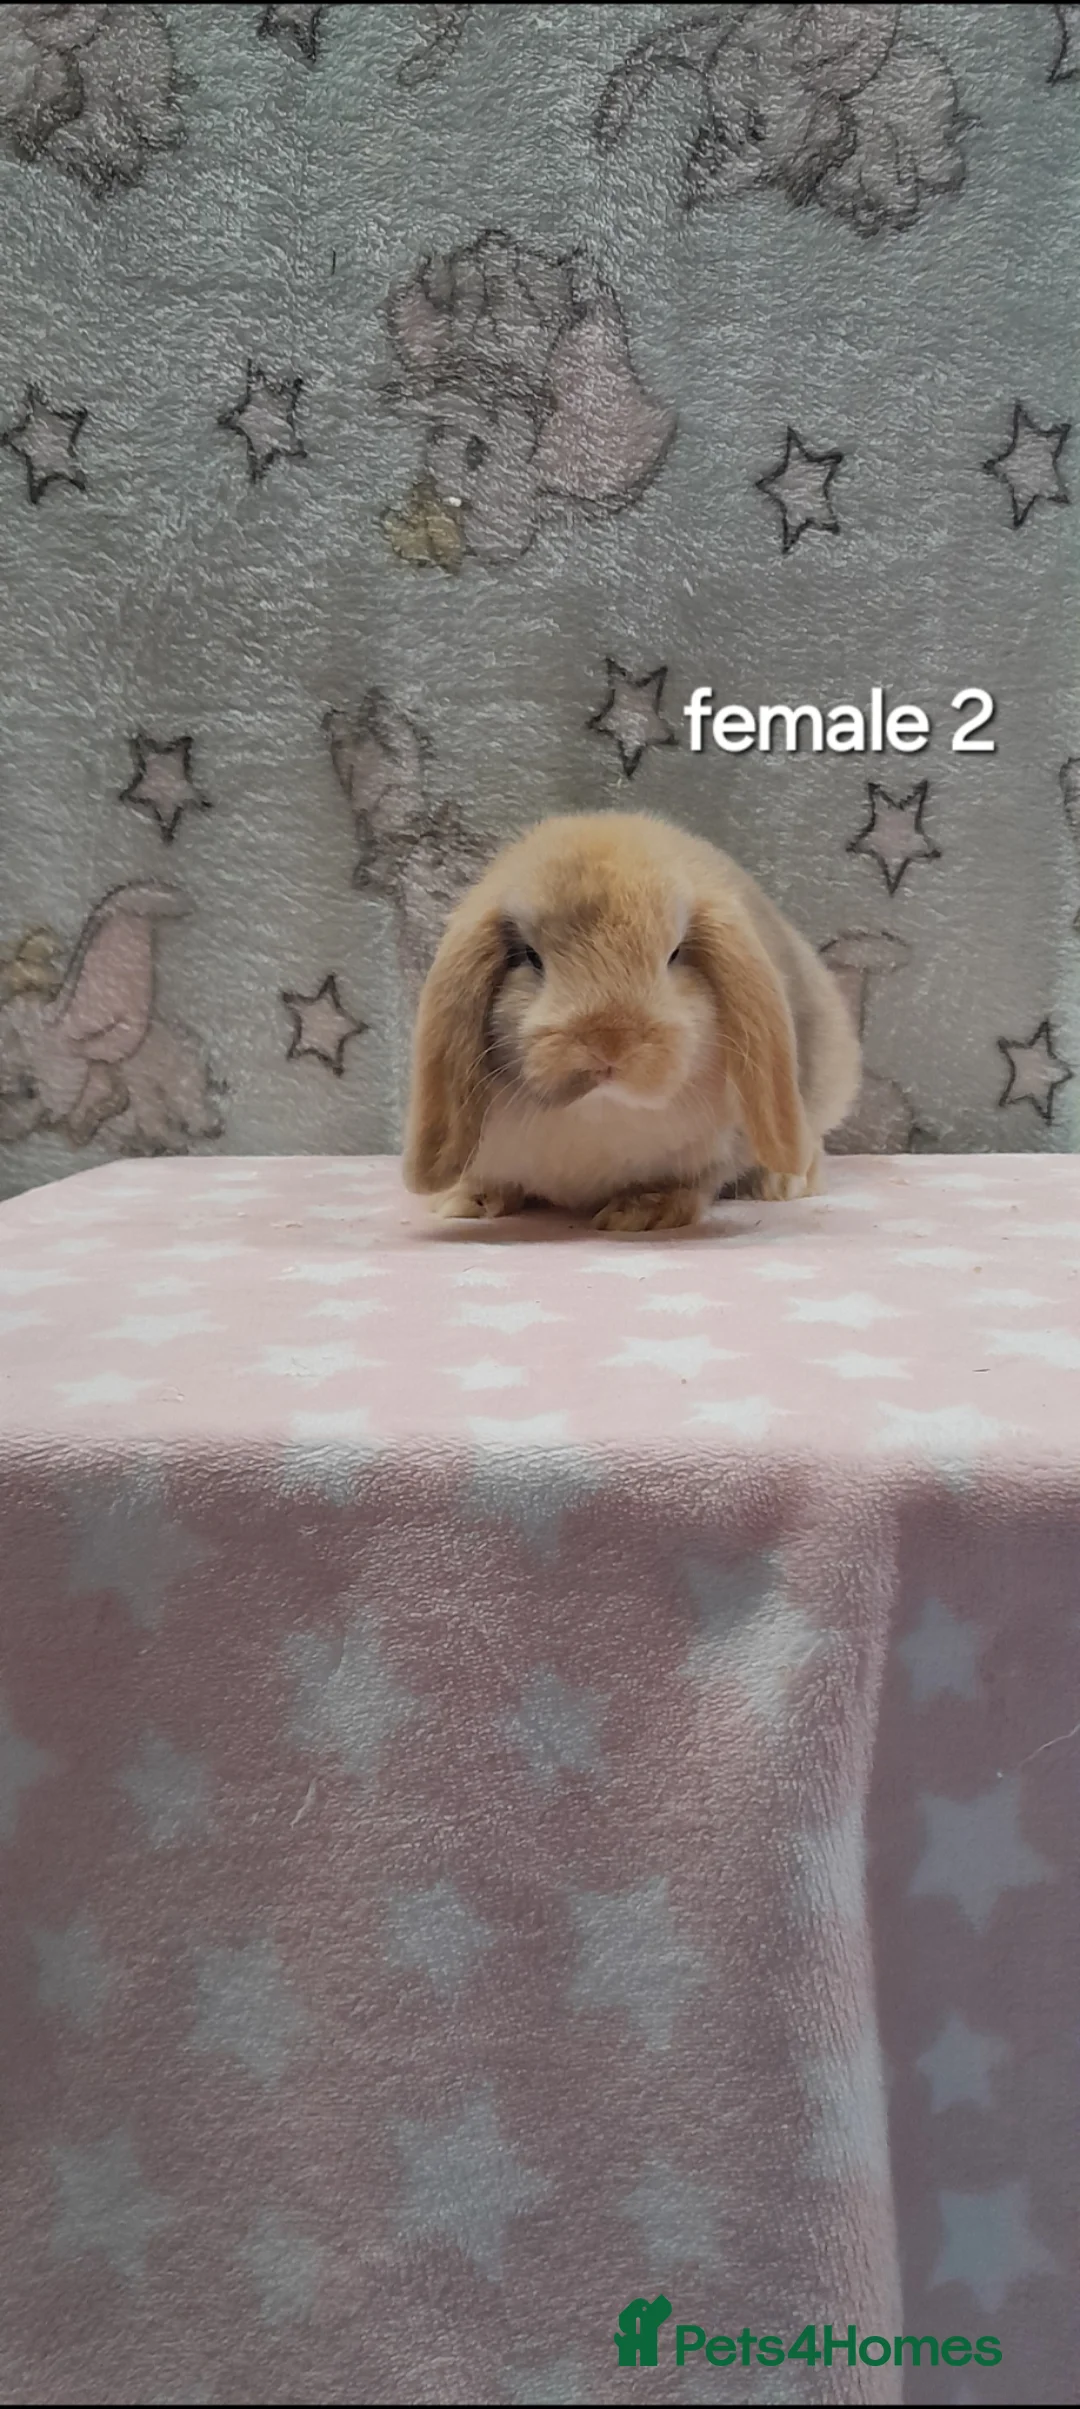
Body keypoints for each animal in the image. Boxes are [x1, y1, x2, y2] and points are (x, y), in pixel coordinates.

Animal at [403, 812, 860, 1232]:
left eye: (674, 954)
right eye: (530, 957)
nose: (609, 1040)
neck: (600, 1113)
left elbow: (687, 1183)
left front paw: (641, 1211)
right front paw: (465, 1200)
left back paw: (782, 1182)